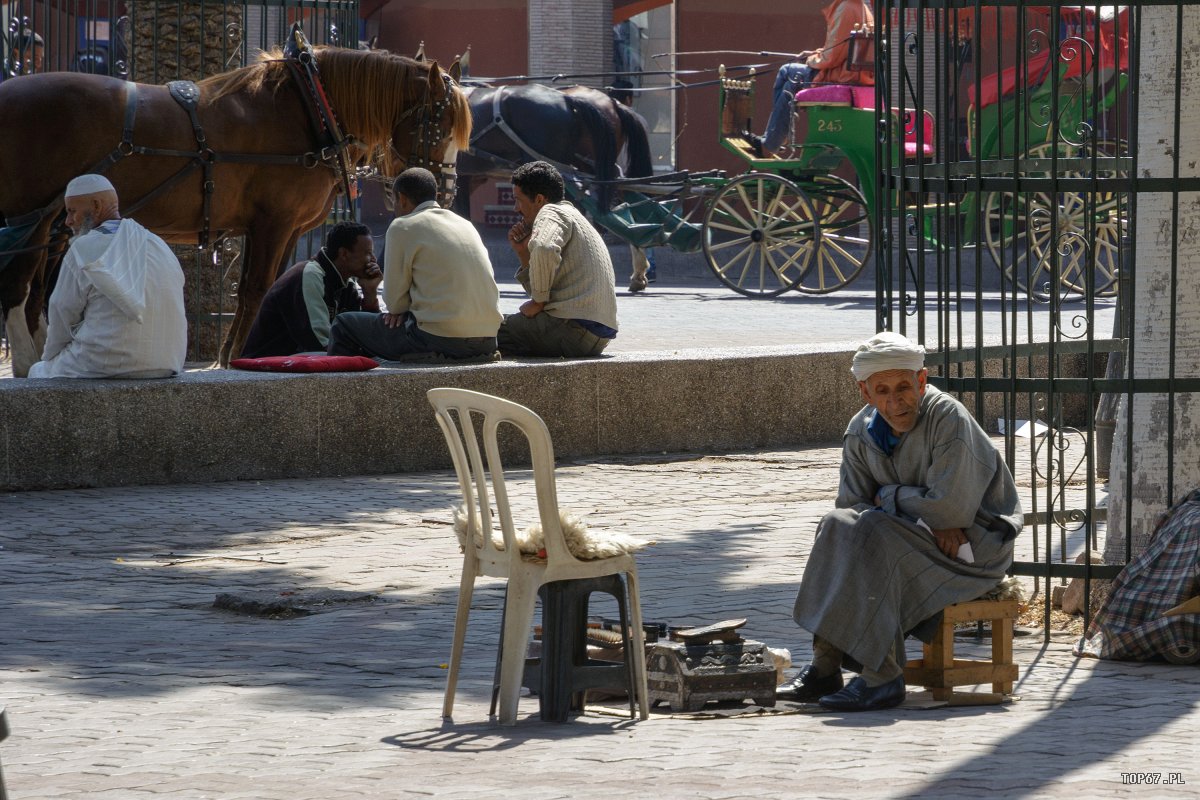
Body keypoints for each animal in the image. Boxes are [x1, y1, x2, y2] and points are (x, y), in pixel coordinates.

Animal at [0, 42, 470, 371]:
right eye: (440, 124)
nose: (446, 193)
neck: (311, 109)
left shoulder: (288, 229)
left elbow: (262, 288)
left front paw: (230, 356)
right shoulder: (272, 224)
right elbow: (254, 290)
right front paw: (238, 358)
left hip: (58, 221)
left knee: (38, 289)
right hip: (33, 216)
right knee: (19, 284)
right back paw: (26, 362)